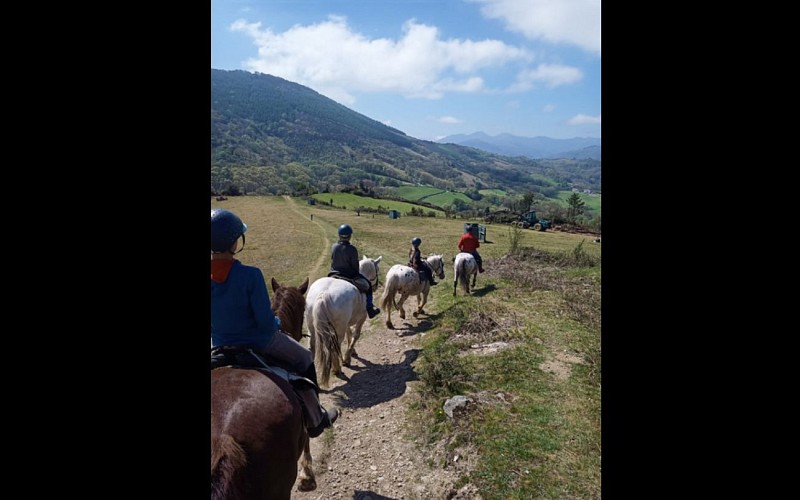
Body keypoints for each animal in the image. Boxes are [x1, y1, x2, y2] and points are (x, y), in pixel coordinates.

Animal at [304, 258, 382, 386]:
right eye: (377, 270)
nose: (376, 286)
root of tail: (323, 294)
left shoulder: (346, 323)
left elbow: (349, 335)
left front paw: (351, 352)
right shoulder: (362, 318)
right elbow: (355, 335)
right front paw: (347, 359)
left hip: (313, 326)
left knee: (312, 345)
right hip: (337, 329)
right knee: (334, 346)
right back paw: (337, 369)